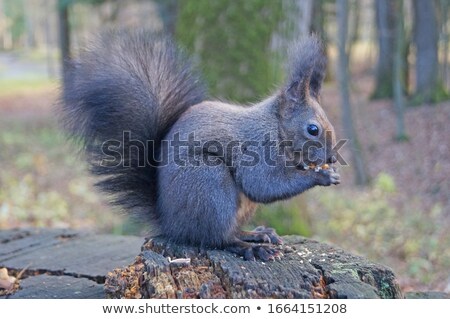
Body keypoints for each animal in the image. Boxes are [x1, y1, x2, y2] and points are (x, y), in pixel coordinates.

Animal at [60, 29, 342, 262]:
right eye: (313, 129)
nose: (332, 158)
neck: (276, 126)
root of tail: (171, 224)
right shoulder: (257, 147)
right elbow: (263, 184)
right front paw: (322, 176)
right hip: (209, 184)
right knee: (217, 239)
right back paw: (252, 248)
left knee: (229, 231)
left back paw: (257, 234)